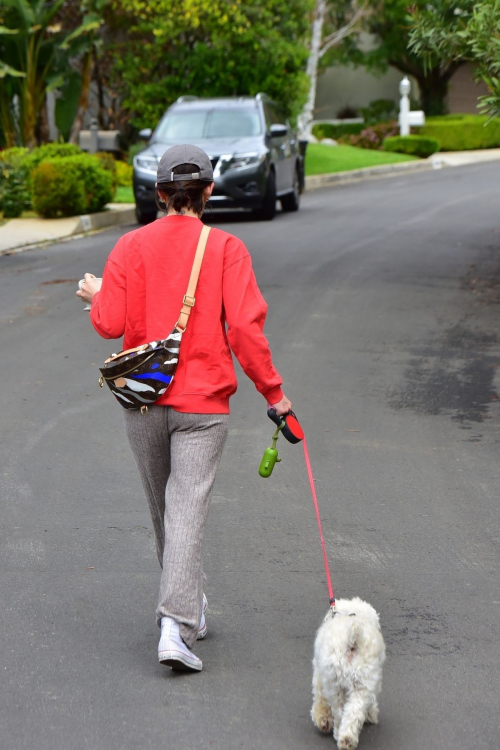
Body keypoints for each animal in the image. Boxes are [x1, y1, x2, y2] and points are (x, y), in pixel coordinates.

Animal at [308, 600, 386, 750]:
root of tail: (353, 633)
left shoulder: (321, 677)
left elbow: (320, 699)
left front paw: (322, 718)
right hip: (361, 684)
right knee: (353, 712)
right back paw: (347, 739)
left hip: (336, 686)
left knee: (340, 712)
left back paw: (340, 734)